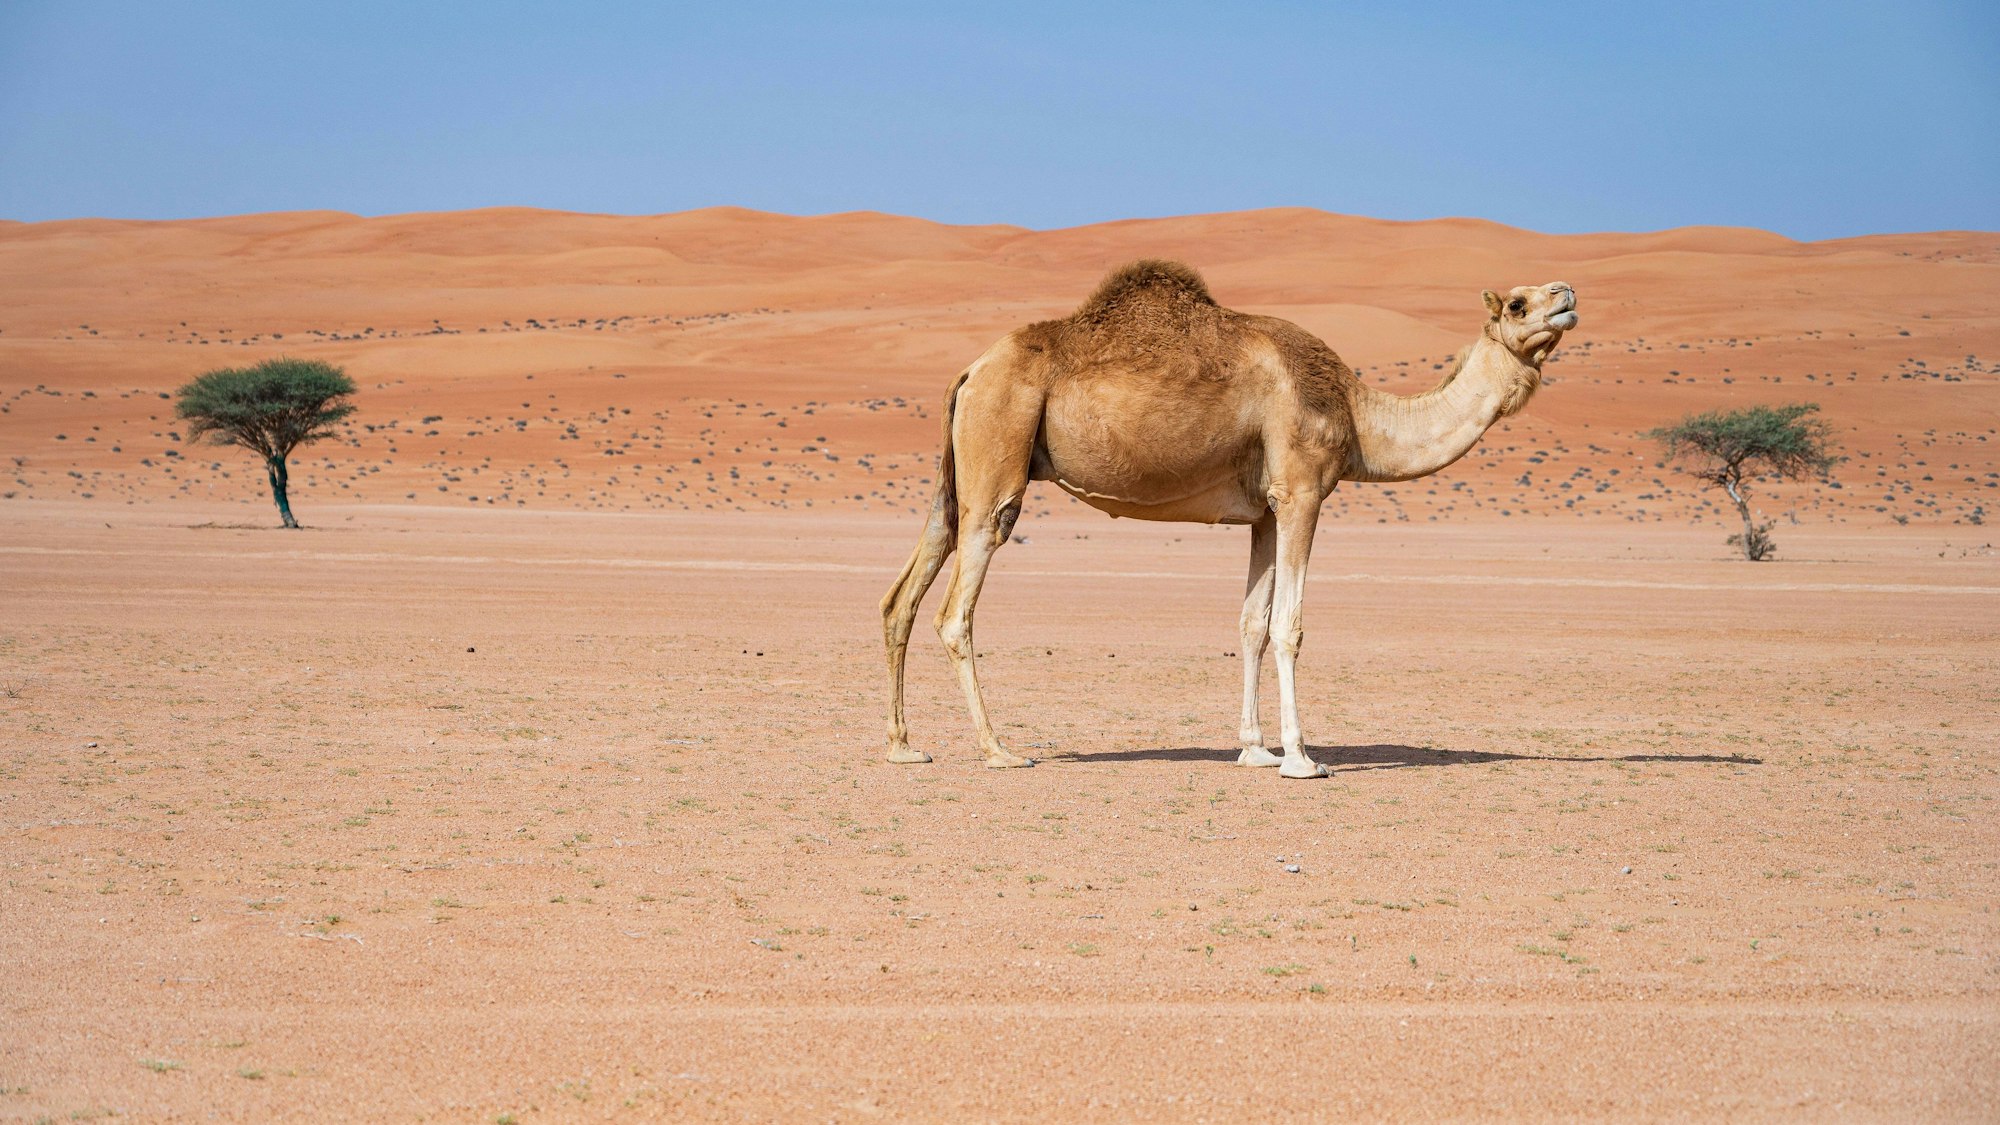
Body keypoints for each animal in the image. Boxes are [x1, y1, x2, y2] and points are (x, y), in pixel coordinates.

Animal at [880, 261, 1578, 778]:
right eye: (1518, 304)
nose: (1567, 294)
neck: (1359, 419)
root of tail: (970, 370)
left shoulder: (1265, 511)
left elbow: (1251, 624)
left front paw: (1253, 749)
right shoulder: (1302, 490)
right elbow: (1291, 625)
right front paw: (1300, 758)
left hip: (954, 481)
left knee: (901, 597)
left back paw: (903, 745)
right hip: (998, 452)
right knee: (956, 609)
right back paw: (998, 750)